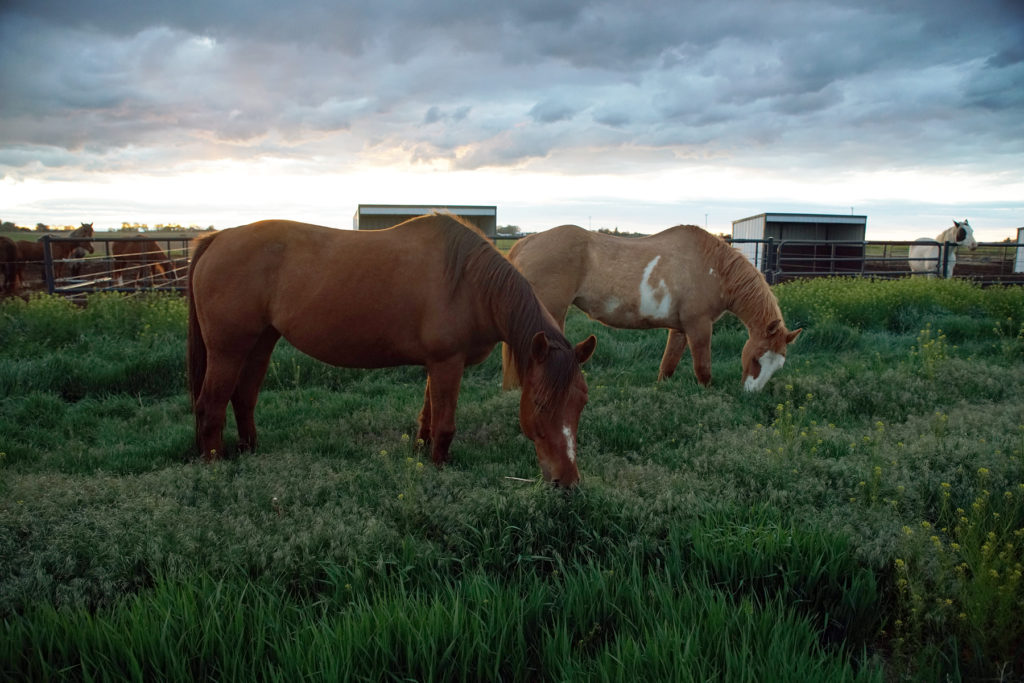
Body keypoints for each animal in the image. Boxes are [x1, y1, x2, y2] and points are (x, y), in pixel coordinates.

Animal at [188, 214, 598, 485]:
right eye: (541, 404)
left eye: (581, 403)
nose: (568, 482)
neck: (468, 282)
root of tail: (217, 239)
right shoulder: (448, 363)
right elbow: (445, 425)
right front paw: (438, 469)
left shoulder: (439, 363)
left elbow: (428, 416)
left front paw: (421, 454)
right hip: (228, 350)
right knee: (211, 405)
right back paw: (214, 466)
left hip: (260, 343)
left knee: (243, 398)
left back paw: (249, 451)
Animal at [503, 224, 798, 393]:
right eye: (756, 358)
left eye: (778, 366)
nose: (751, 394)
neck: (713, 268)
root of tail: (524, 243)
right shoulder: (699, 327)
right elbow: (703, 368)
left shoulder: (681, 329)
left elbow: (668, 365)